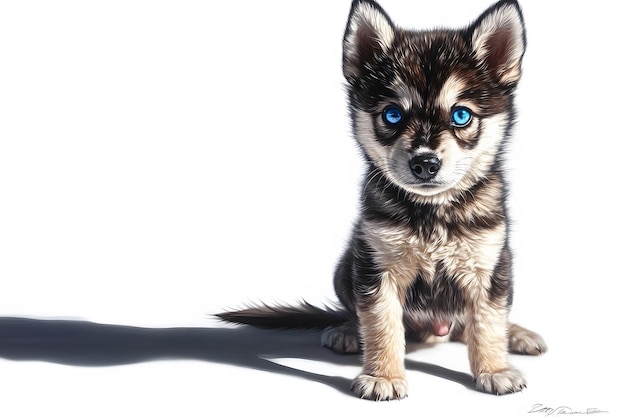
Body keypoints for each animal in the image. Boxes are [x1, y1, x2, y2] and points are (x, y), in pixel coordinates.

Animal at [217, 0, 544, 400]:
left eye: (461, 115)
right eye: (392, 114)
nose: (425, 163)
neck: (431, 213)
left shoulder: (489, 264)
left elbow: (487, 321)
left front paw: (494, 368)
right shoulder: (377, 267)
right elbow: (380, 323)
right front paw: (383, 375)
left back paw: (518, 334)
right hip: (346, 265)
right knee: (356, 311)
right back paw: (346, 331)